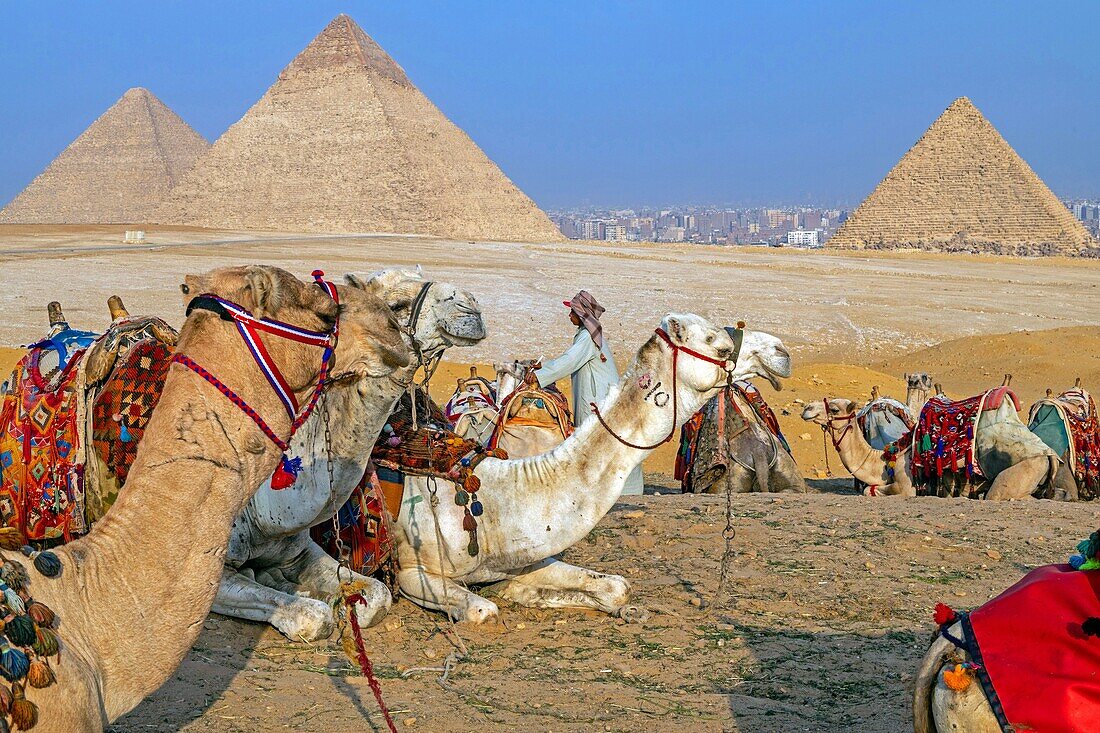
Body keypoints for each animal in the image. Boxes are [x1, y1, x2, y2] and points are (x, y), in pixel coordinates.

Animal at [16, 267, 413, 730]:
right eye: (328, 309)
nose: (395, 332)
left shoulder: (297, 550)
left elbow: (377, 596)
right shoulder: (218, 570)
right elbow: (310, 615)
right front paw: (293, 598)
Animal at [391, 314, 787, 620]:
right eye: (717, 344)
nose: (781, 351)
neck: (493, 505)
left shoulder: (522, 556)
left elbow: (618, 587)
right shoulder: (413, 572)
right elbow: (482, 610)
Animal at [800, 396, 1064, 499]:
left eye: (835, 408)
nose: (807, 409)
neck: (885, 459)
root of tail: (1049, 453)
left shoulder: (906, 485)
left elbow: (869, 490)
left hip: (1024, 468)